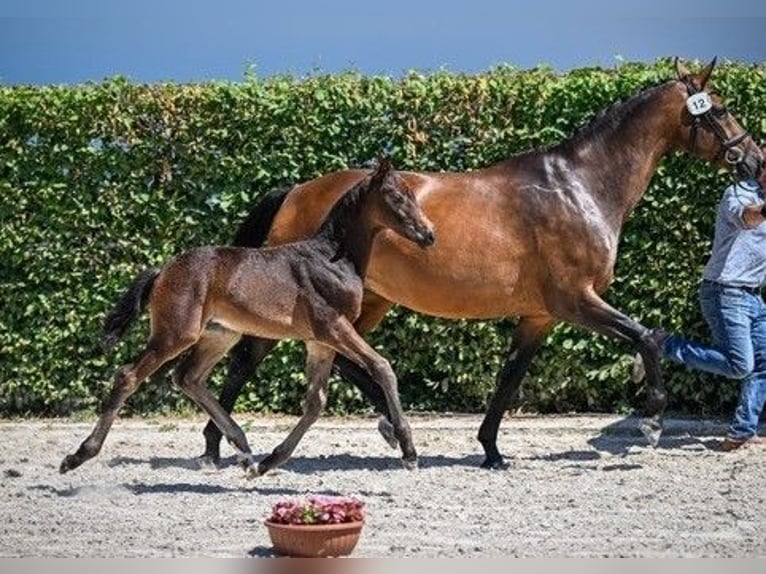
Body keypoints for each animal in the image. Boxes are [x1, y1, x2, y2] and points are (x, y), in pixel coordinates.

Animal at [59, 158, 435, 477]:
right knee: (129, 376)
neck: (330, 257)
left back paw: (244, 450)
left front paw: (270, 462)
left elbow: (315, 403)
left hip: (219, 335)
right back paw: (78, 456)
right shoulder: (334, 327)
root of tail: (163, 269)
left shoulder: (320, 341)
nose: (429, 234)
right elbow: (382, 367)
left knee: (187, 377)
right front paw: (409, 450)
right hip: (175, 333)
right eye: (396, 196)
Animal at [201, 57, 764, 470]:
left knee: (343, 359)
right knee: (248, 358)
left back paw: (387, 428)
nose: (755, 161)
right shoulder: (576, 300)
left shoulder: (540, 315)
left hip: (367, 302)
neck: (578, 187)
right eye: (719, 109)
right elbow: (645, 336)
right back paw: (218, 446)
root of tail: (295, 190)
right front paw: (651, 417)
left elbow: (510, 378)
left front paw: (491, 450)